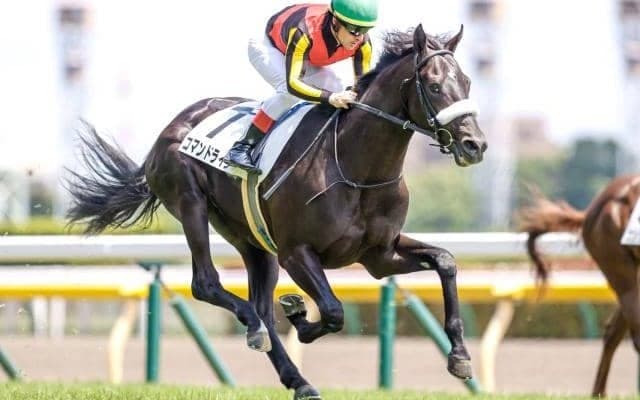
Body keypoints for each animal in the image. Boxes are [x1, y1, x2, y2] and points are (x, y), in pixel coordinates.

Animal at [66, 25, 487, 399]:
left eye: (467, 82)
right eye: (434, 85)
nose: (475, 144)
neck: (356, 168)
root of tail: (168, 130)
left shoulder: (378, 256)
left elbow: (445, 261)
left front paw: (460, 356)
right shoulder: (297, 252)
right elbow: (333, 311)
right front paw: (300, 318)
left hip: (250, 237)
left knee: (262, 307)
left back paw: (297, 379)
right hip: (192, 204)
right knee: (209, 285)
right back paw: (256, 329)